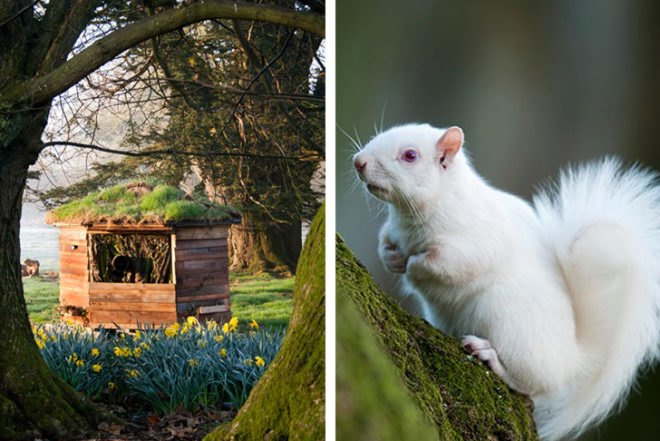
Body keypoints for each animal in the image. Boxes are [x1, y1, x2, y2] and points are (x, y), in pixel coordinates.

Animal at [353, 123, 660, 440]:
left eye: (410, 155)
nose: (358, 162)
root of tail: (573, 360)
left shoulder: (472, 242)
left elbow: (445, 264)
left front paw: (412, 266)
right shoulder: (395, 230)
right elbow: (386, 240)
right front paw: (392, 258)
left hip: (505, 320)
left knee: (530, 386)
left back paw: (490, 357)